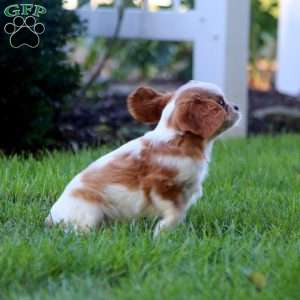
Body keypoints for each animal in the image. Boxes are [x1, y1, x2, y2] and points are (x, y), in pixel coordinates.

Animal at [45, 81, 241, 236]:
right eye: (221, 103)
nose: (238, 106)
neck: (178, 140)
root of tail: (50, 218)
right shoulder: (161, 186)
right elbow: (175, 213)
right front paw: (163, 232)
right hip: (90, 211)